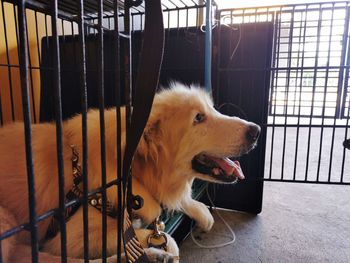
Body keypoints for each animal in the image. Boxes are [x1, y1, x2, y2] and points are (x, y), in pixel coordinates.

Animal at [0, 82, 260, 262]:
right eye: (198, 118)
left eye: (212, 109)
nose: (256, 130)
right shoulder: (72, 237)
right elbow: (160, 237)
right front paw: (159, 243)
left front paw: (202, 213)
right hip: (6, 219)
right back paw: (149, 256)